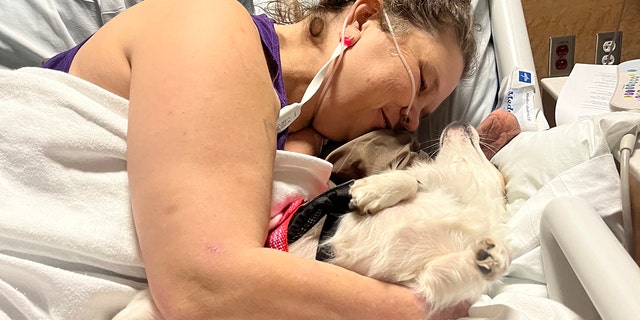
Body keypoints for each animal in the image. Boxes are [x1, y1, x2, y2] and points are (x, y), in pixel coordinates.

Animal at [115, 122, 512, 318]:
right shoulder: (329, 200)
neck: (458, 200)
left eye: (493, 164)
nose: (461, 119)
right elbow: (408, 180)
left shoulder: (428, 285)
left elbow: (457, 271)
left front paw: (491, 257)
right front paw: (374, 191)